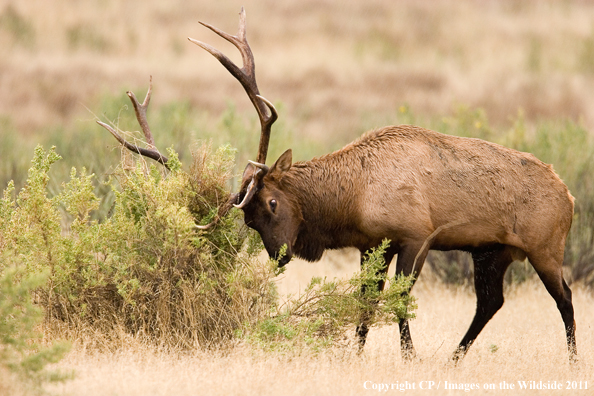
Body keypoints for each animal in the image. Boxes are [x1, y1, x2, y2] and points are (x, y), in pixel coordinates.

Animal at [98, 8, 572, 362]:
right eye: (248, 221)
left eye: (272, 203)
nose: (279, 256)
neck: (353, 199)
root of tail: (568, 195)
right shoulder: (372, 245)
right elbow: (366, 305)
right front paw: (357, 354)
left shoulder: (417, 235)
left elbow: (399, 301)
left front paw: (409, 357)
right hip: (492, 251)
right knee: (491, 302)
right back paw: (456, 357)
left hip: (545, 246)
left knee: (564, 296)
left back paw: (571, 358)